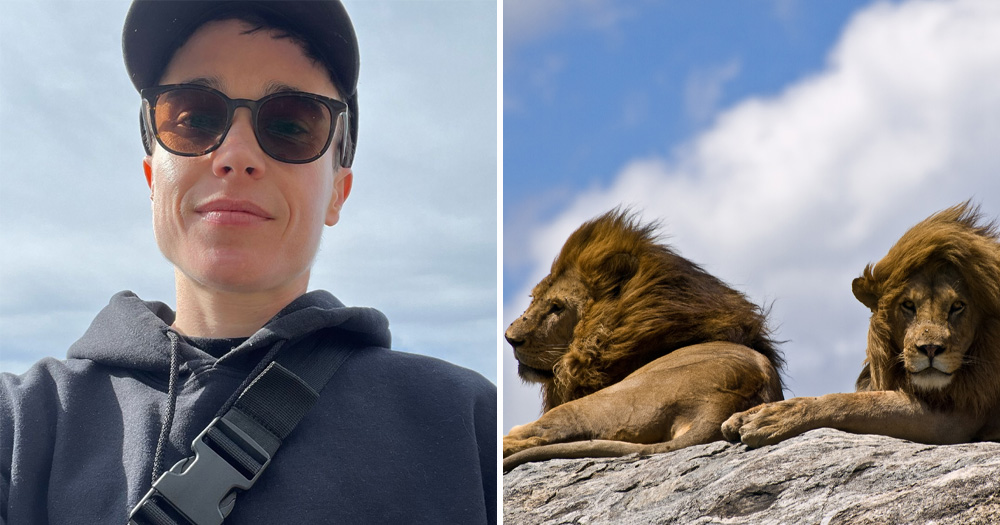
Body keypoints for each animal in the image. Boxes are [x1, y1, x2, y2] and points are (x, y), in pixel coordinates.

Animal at [504, 209, 784, 470]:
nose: (510, 339)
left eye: (557, 307)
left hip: (601, 403)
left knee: (538, 433)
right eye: (534, 298)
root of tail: (718, 407)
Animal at [724, 203, 1000, 448]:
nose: (930, 349)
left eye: (957, 306)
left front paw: (775, 417)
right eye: (908, 305)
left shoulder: (956, 418)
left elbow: (858, 403)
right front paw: (748, 413)